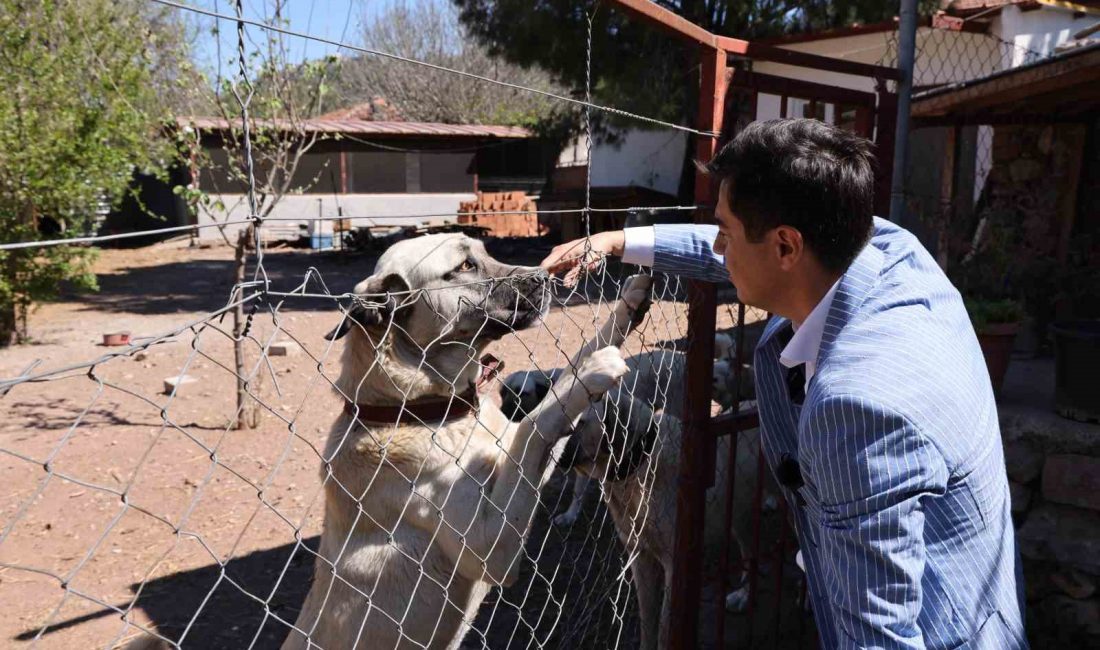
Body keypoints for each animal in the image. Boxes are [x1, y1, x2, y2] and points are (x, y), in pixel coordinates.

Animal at [279, 236, 646, 650]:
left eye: (484, 253)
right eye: (466, 266)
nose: (545, 275)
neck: (416, 410)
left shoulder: (517, 457)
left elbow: (560, 385)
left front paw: (629, 304)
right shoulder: (491, 547)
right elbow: (534, 423)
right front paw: (588, 372)